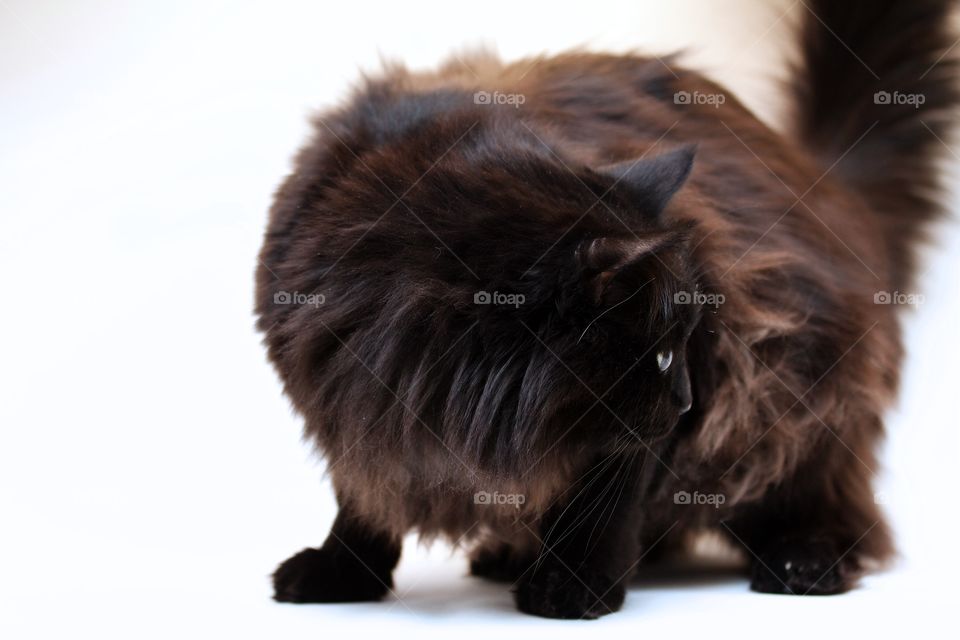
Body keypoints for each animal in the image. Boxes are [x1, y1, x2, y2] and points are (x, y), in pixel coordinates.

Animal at [251, 0, 956, 620]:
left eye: (686, 346)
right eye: (662, 354)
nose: (687, 402)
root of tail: (825, 181)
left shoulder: (643, 428)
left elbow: (603, 508)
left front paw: (574, 588)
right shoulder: (349, 398)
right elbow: (362, 499)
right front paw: (342, 572)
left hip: (800, 396)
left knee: (836, 508)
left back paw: (802, 561)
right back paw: (513, 553)